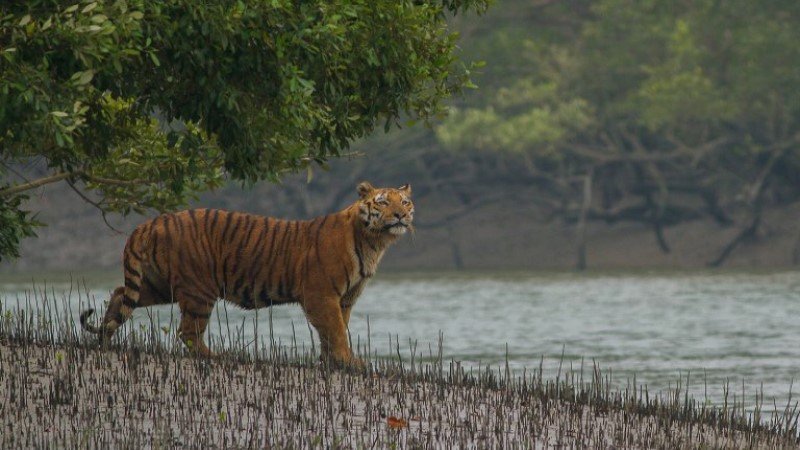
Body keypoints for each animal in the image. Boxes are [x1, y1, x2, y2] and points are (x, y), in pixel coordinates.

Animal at [80, 181, 416, 368]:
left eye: (405, 201)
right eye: (383, 201)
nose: (401, 215)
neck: (374, 242)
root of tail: (150, 223)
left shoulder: (344, 299)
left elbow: (334, 330)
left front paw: (331, 361)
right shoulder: (321, 295)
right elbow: (335, 330)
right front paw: (349, 361)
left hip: (158, 285)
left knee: (119, 295)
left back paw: (105, 341)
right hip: (199, 289)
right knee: (187, 332)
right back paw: (215, 356)